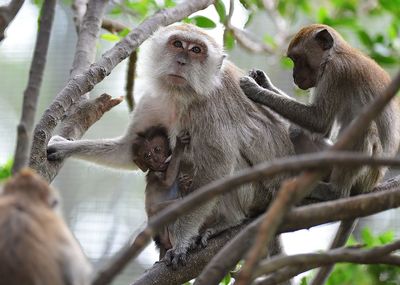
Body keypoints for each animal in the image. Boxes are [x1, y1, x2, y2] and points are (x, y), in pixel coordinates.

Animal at [132, 125, 191, 258]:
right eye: (147, 156)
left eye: (157, 149)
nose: (155, 159)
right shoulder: (154, 175)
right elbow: (168, 181)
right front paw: (179, 146)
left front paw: (184, 185)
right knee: (154, 210)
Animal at [241, 23, 400, 284]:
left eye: (298, 59)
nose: (295, 76)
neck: (335, 54)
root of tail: (373, 183)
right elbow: (312, 125)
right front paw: (263, 81)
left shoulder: (336, 74)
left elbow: (319, 121)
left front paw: (256, 90)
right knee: (297, 132)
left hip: (366, 172)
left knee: (364, 131)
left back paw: (333, 192)